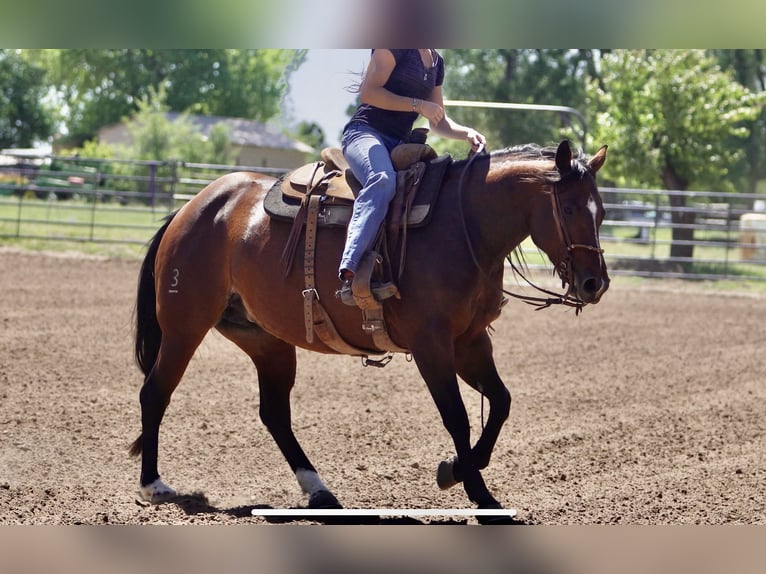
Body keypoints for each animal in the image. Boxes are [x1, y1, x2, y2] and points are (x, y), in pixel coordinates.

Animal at [130, 141, 612, 528]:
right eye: (569, 208)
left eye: (603, 211)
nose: (595, 283)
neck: (463, 225)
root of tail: (194, 206)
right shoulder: (431, 344)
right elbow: (457, 416)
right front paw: (480, 495)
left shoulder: (470, 342)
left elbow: (500, 402)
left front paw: (457, 468)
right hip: (184, 327)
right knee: (155, 392)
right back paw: (154, 485)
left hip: (266, 341)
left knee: (275, 415)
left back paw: (320, 491)